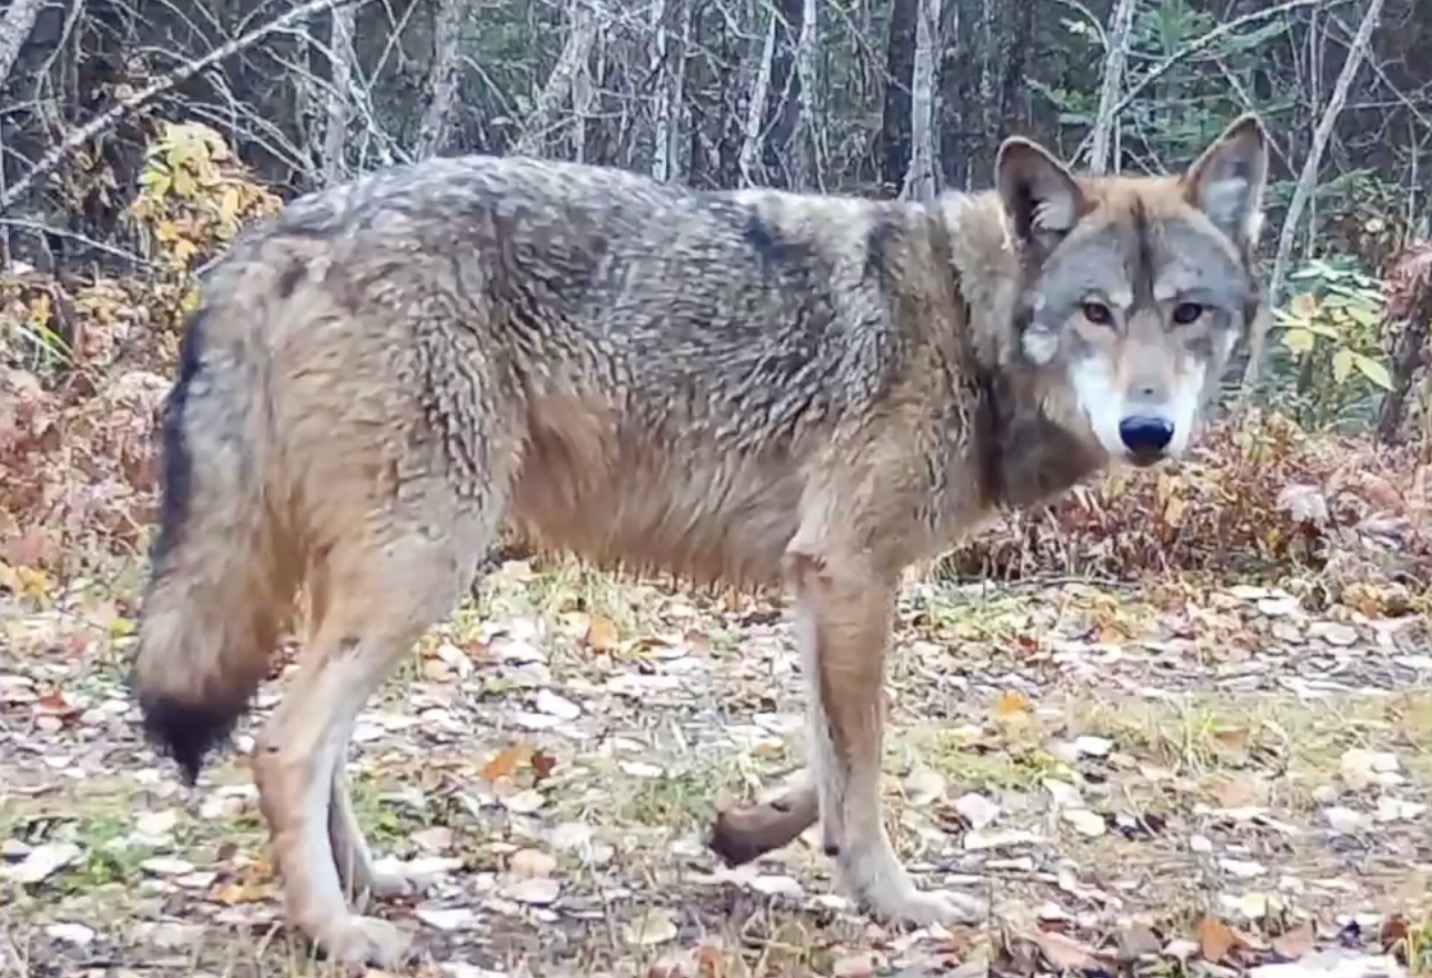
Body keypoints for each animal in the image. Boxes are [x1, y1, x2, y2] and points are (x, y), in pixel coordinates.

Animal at [130, 114, 1270, 966]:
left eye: (1186, 313)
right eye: (1095, 312)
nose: (1148, 431)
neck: (963, 322)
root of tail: (277, 236)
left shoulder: (824, 584)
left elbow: (833, 761)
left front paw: (745, 832)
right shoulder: (852, 572)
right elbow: (866, 765)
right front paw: (896, 905)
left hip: (382, 574)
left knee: (323, 747)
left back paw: (374, 884)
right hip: (423, 563)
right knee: (285, 747)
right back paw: (334, 930)